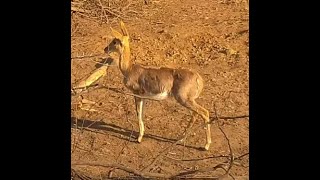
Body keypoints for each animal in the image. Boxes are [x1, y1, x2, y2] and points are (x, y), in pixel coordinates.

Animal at [105, 21, 212, 150]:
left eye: (114, 41)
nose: (105, 49)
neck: (129, 69)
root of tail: (198, 78)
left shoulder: (137, 93)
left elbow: (138, 113)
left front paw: (139, 138)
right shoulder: (144, 96)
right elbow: (141, 113)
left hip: (184, 99)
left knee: (204, 112)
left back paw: (206, 145)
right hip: (188, 100)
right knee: (196, 114)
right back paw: (180, 139)